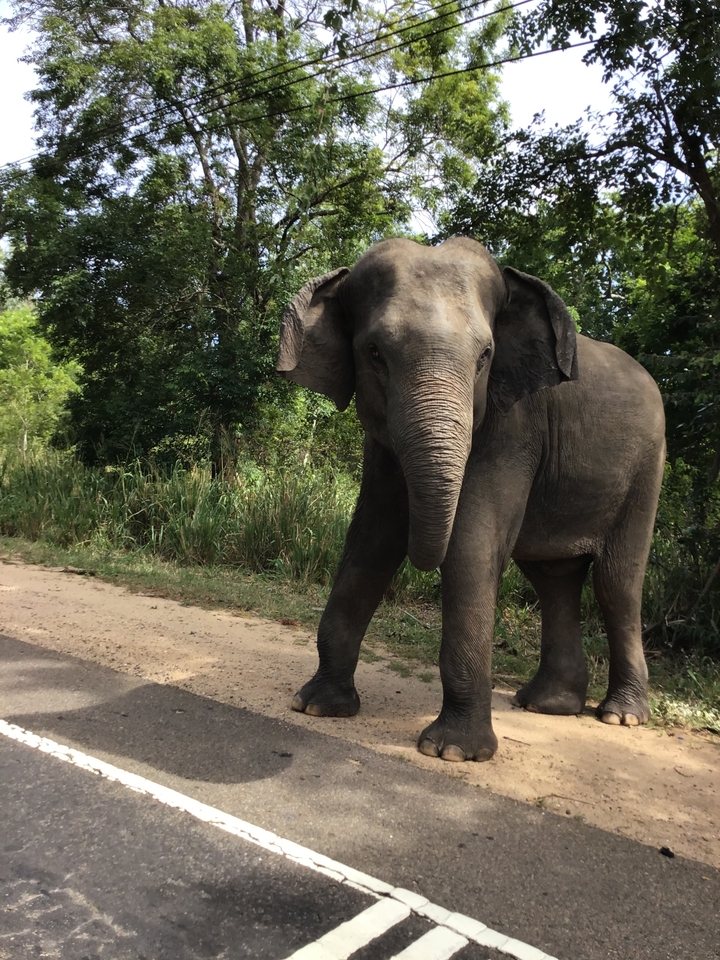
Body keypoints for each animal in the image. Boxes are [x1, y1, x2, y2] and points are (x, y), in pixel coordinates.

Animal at [277, 237, 665, 762]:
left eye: (485, 355)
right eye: (374, 352)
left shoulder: (514, 425)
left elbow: (470, 547)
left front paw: (453, 752)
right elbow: (372, 538)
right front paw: (317, 707)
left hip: (647, 467)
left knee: (616, 583)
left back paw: (620, 716)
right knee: (554, 578)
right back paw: (546, 705)